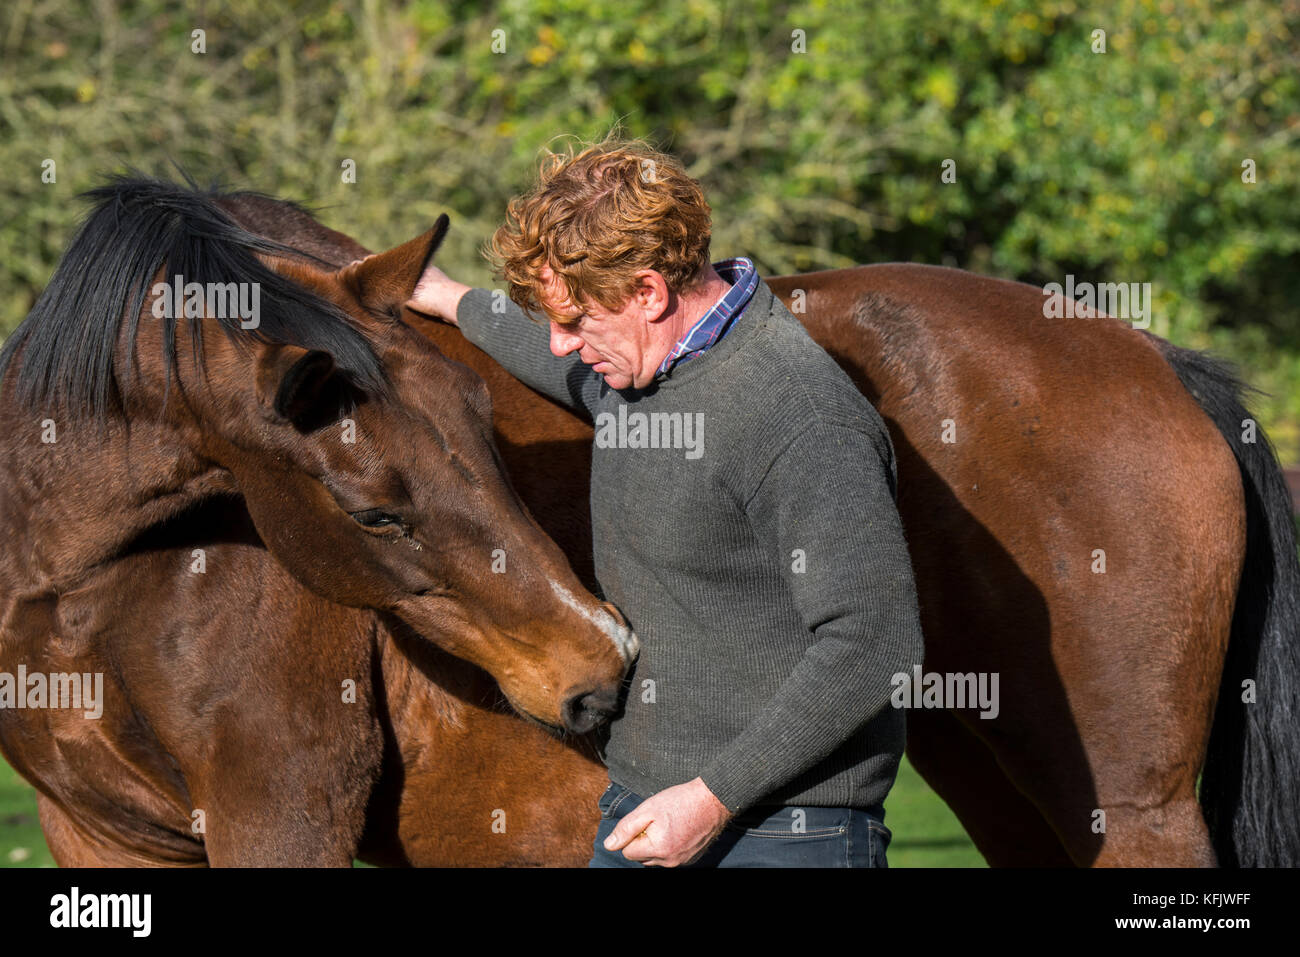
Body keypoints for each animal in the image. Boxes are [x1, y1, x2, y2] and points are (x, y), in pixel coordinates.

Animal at [0, 178, 634, 868]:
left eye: (485, 423)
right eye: (373, 515)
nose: (608, 662)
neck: (66, 584)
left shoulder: (277, 815)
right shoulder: (98, 833)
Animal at [228, 188, 1294, 868]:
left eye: (378, 511)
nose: (596, 670)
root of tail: (1157, 360)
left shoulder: (283, 806)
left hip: (1134, 804)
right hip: (992, 767)